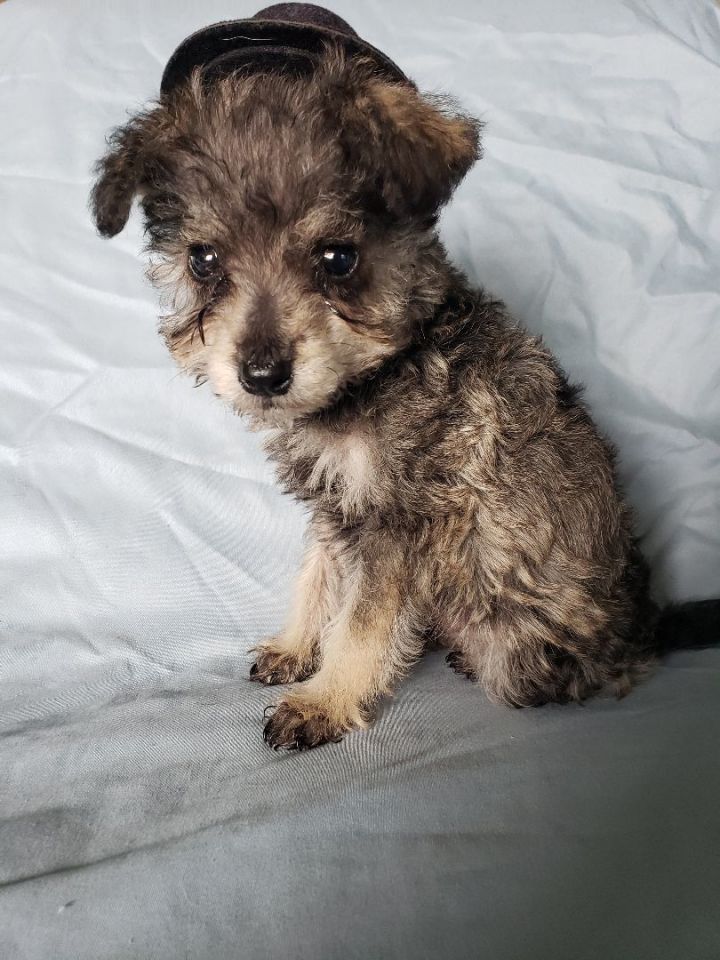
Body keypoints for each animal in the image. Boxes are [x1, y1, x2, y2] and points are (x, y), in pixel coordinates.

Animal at [88, 3, 716, 752]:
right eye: (203, 259)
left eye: (338, 258)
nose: (262, 374)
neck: (374, 377)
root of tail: (643, 631)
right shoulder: (340, 507)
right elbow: (320, 576)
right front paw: (296, 646)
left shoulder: (399, 526)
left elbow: (363, 620)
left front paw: (325, 699)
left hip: (523, 647)